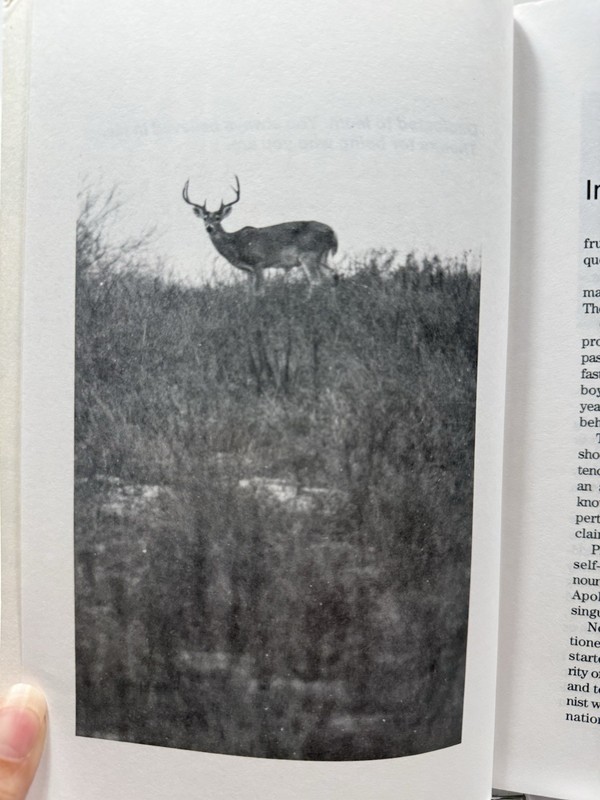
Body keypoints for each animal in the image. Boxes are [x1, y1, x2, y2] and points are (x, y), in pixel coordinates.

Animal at [182, 176, 338, 291]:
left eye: (218, 218)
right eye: (205, 218)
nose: (209, 228)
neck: (236, 245)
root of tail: (332, 233)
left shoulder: (258, 262)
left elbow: (259, 290)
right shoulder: (248, 270)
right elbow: (248, 291)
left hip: (309, 254)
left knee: (316, 281)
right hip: (321, 256)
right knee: (331, 276)